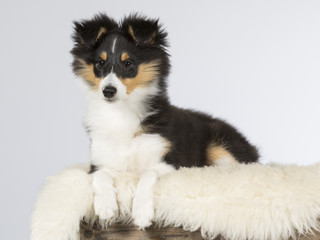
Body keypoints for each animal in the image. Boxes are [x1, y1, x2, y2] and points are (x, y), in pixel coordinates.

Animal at [70, 13, 258, 229]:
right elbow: (100, 176)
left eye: (128, 63)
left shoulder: (171, 161)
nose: (108, 91)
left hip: (220, 144)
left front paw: (141, 213)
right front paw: (106, 207)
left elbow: (147, 175)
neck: (121, 112)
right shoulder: (99, 163)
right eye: (100, 63)